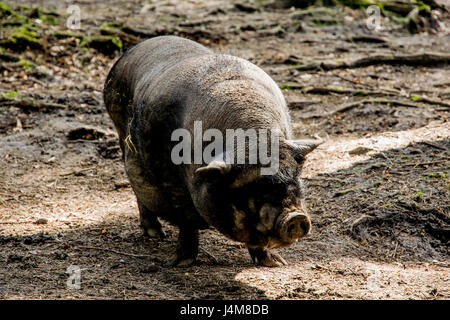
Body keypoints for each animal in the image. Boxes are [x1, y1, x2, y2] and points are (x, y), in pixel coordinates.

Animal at [103, 35, 320, 268]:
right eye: (255, 187)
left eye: (296, 179)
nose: (296, 217)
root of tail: (130, 52)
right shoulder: (171, 180)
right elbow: (186, 221)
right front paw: (181, 263)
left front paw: (276, 263)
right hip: (121, 133)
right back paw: (156, 234)